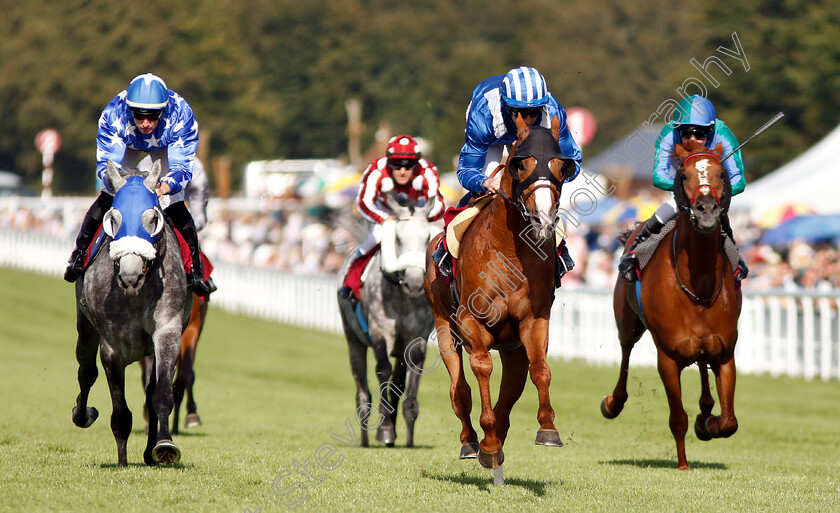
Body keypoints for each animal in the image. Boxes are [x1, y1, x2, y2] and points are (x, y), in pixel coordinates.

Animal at [70, 161, 190, 468]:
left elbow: (161, 393)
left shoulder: (168, 331)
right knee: (85, 372)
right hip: (85, 327)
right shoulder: (112, 346)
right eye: (113, 219)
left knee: (150, 389)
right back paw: (82, 414)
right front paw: (123, 462)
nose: (130, 276)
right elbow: (120, 409)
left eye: (153, 218)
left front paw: (164, 446)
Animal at [336, 194, 436, 446]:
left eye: (427, 237)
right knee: (362, 388)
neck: (401, 297)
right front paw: (385, 429)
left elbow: (409, 379)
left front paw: (408, 434)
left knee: (398, 381)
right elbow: (383, 370)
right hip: (354, 340)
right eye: (398, 238)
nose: (414, 283)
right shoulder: (380, 331)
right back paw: (365, 431)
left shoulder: (416, 338)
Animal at [424, 115, 576, 472]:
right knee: (459, 390)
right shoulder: (469, 321)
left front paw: (547, 428)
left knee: (513, 386)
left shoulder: (533, 320)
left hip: (512, 347)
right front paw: (488, 441)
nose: (543, 218)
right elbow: (481, 367)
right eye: (521, 165)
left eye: (561, 166)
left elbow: (540, 370)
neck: (510, 250)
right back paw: (471, 442)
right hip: (443, 325)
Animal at [600, 140, 744, 468]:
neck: (699, 285)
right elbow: (678, 418)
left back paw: (706, 412)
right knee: (625, 351)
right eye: (684, 175)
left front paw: (709, 423)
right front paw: (683, 463)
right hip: (627, 323)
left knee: (703, 371)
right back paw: (613, 402)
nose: (707, 210)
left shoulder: (725, 352)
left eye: (721, 173)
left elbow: (729, 422)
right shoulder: (667, 356)